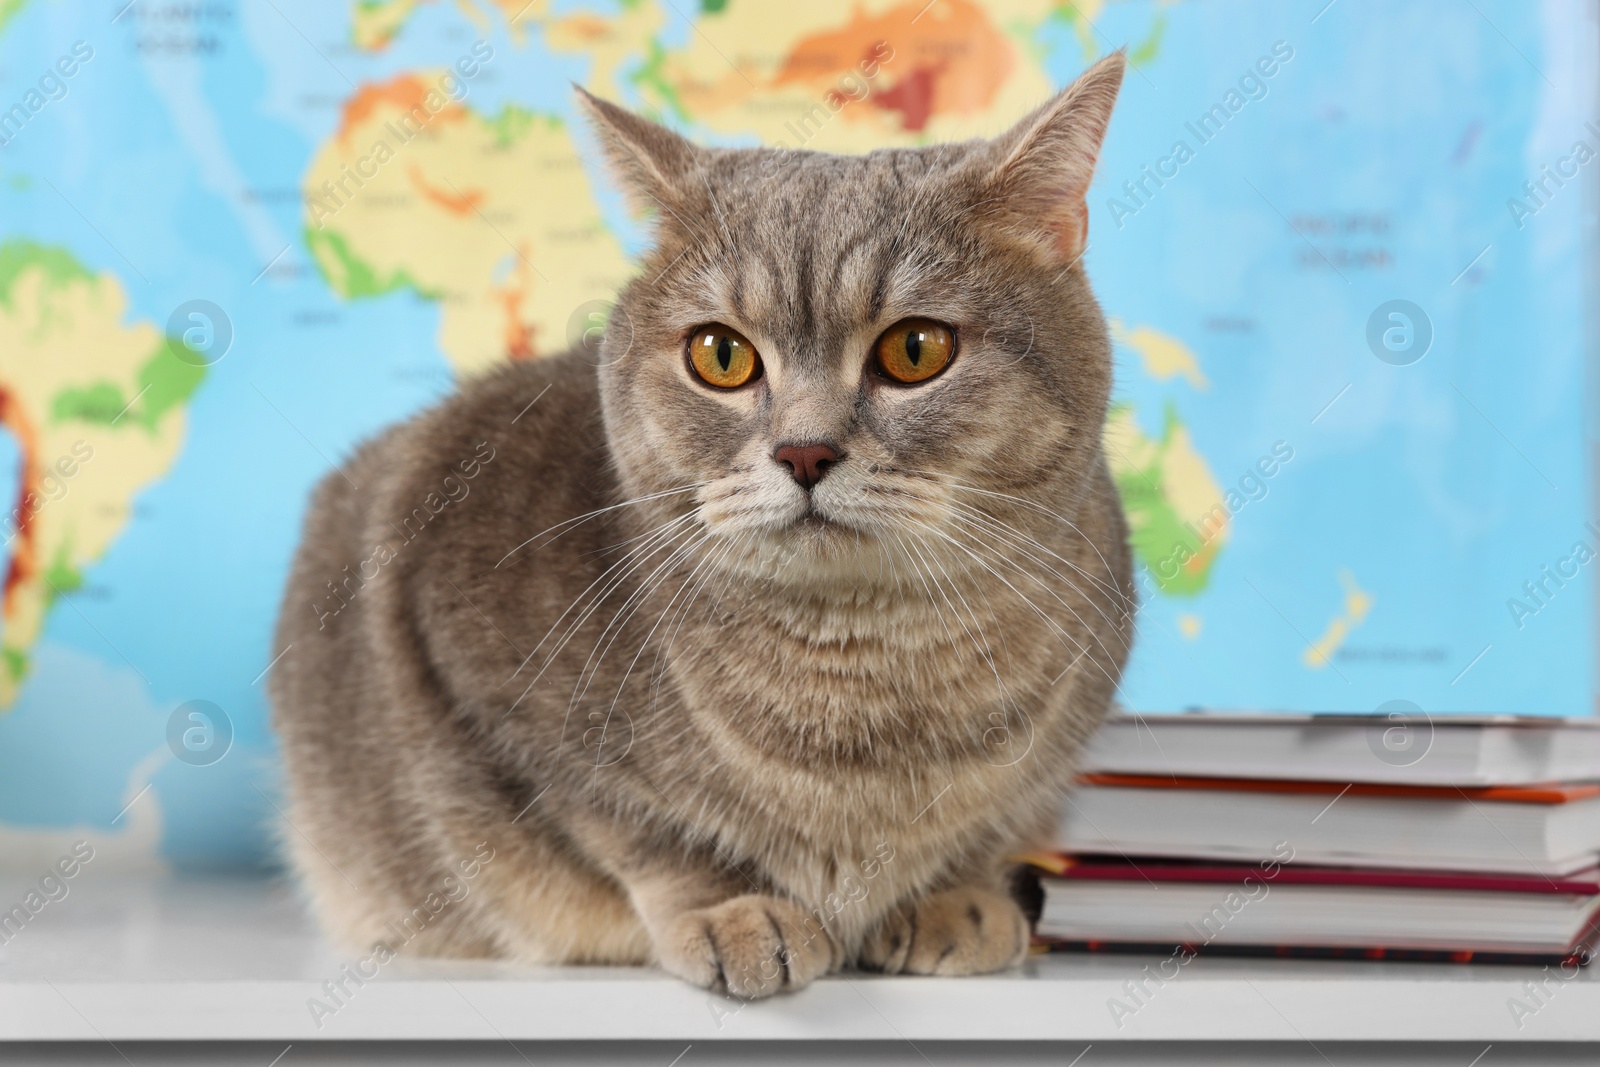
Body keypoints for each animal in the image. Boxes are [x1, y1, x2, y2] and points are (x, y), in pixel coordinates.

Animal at [268, 51, 1132, 1004]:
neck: (866, 684)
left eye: (917, 350)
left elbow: (993, 820)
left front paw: (958, 894)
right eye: (721, 355)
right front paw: (735, 909)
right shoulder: (465, 655)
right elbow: (645, 832)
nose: (804, 450)